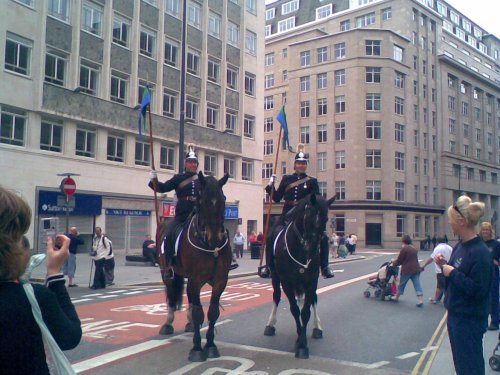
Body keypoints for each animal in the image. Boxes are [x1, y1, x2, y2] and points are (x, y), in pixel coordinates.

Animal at [158, 172, 232, 362]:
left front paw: (211, 346)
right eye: (202, 200)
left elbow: (212, 311)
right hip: (168, 273)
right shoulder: (195, 279)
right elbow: (199, 313)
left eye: (223, 199)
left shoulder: (220, 280)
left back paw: (189, 324)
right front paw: (197, 349)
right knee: (171, 295)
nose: (215, 237)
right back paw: (168, 323)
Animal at [264, 194, 334, 358]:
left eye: (326, 218)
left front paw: (302, 343)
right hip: (275, 277)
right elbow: (295, 310)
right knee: (276, 296)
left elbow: (306, 311)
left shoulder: (311, 281)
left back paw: (317, 327)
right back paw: (270, 324)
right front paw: (300, 341)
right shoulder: (286, 282)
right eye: (308, 215)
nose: (312, 248)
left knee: (314, 299)